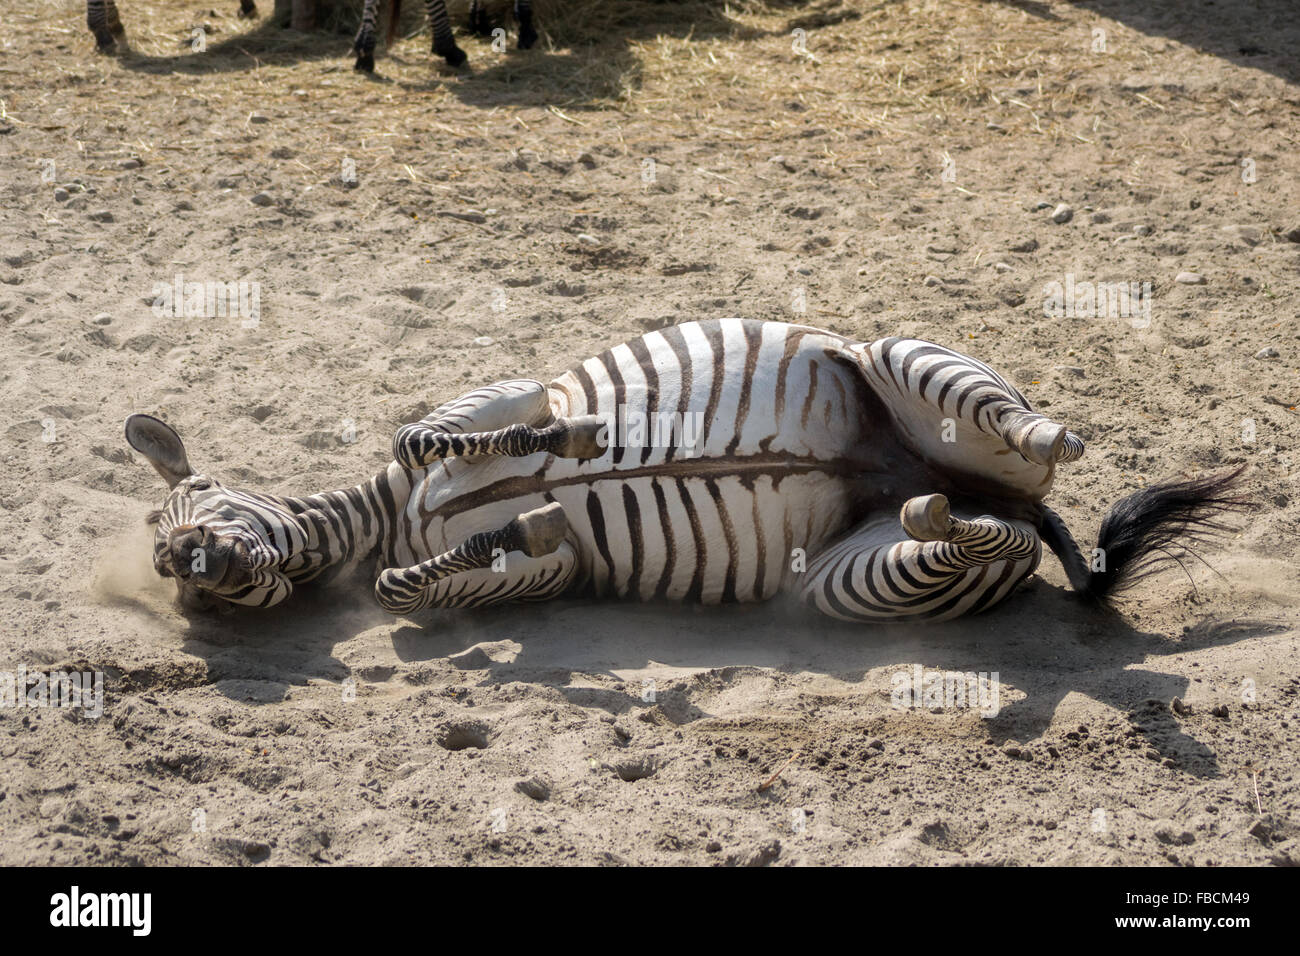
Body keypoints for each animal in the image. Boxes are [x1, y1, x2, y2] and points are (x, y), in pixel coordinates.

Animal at [126, 319, 1242, 621]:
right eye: (191, 594)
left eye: (191, 497)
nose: (180, 560)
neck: (391, 519)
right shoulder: (549, 574)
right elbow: (432, 579)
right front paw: (512, 522)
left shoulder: (506, 387)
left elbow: (425, 436)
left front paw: (577, 441)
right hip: (861, 577)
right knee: (975, 533)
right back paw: (943, 512)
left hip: (894, 358)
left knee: (1022, 433)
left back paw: (1053, 440)